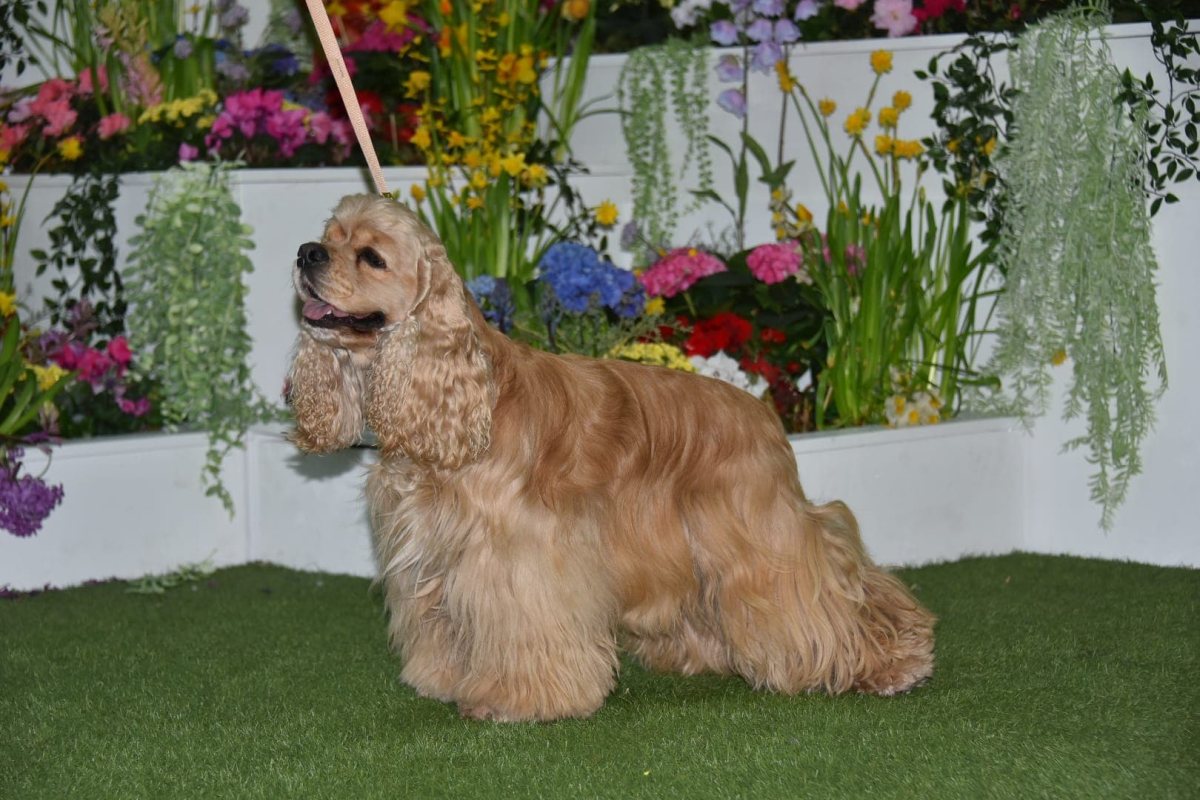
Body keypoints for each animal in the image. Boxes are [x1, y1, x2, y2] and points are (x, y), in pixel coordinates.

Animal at [285, 195, 931, 724]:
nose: (305, 252)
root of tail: (763, 412)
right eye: (329, 236)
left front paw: (513, 700)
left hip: (760, 538)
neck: (465, 392)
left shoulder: (518, 555)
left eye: (371, 257)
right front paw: (443, 680)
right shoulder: (433, 554)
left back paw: (895, 662)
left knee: (833, 585)